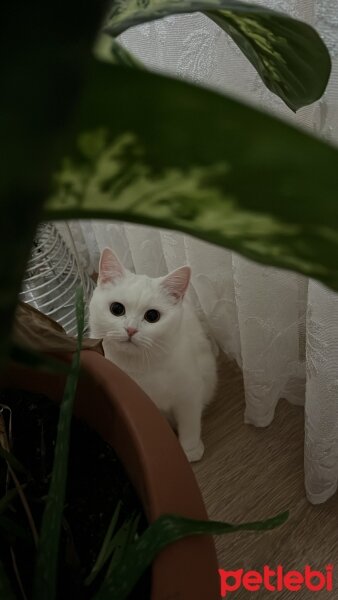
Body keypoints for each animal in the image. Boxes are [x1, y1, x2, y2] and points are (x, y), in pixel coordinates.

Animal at [89, 246, 217, 462]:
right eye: (117, 309)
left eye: (152, 316)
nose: (131, 329)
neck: (140, 366)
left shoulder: (189, 393)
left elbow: (190, 424)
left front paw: (189, 450)